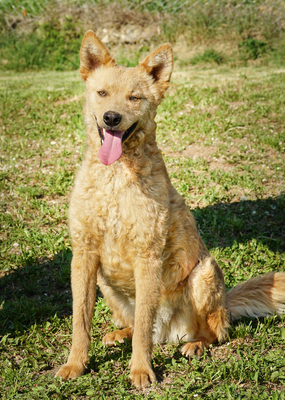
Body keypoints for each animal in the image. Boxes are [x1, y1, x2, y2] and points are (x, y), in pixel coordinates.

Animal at [55, 30, 284, 388]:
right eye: (102, 93)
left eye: (134, 97)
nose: (111, 118)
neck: (115, 179)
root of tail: (168, 333)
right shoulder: (84, 255)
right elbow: (81, 322)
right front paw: (75, 364)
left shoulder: (147, 257)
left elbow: (142, 333)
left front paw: (140, 370)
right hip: (106, 285)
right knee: (138, 326)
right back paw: (119, 334)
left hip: (205, 273)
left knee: (213, 332)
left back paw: (195, 345)